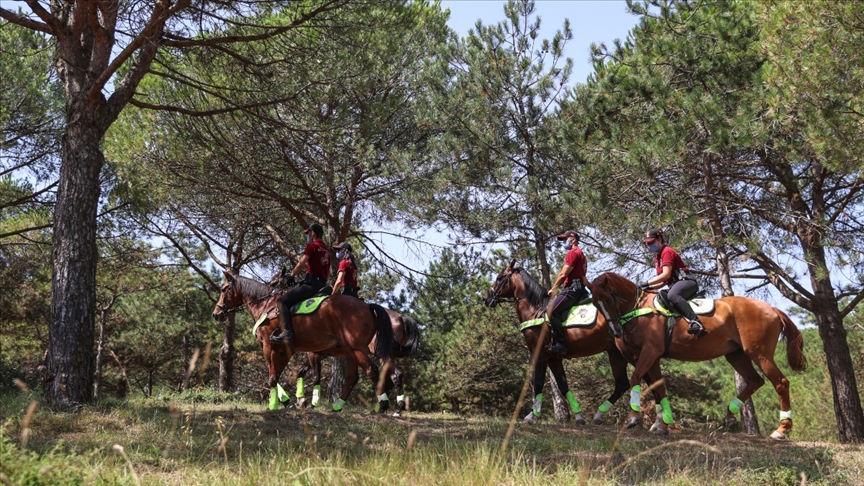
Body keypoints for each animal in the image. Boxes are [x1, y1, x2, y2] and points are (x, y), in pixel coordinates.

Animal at [213, 272, 394, 412]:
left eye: (223, 289)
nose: (216, 314)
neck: (267, 305)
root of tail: (367, 306)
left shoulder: (269, 348)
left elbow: (273, 377)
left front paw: (275, 405)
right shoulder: (285, 351)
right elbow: (278, 376)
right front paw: (289, 401)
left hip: (355, 348)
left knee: (372, 370)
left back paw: (382, 405)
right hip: (350, 352)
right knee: (352, 378)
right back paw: (338, 406)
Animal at [480, 260, 668, 430]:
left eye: (499, 278)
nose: (486, 298)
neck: (536, 311)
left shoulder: (539, 354)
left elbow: (538, 383)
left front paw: (532, 416)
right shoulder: (554, 359)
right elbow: (563, 386)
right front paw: (578, 416)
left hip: (625, 353)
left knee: (639, 381)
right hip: (617, 353)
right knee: (626, 383)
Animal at [592, 272, 808, 438]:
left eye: (609, 299)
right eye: (595, 304)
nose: (615, 332)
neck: (638, 308)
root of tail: (771, 308)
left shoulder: (650, 351)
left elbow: (637, 378)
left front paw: (633, 417)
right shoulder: (651, 356)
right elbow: (658, 388)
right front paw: (662, 424)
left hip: (759, 353)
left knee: (780, 382)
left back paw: (781, 429)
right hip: (736, 355)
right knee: (755, 380)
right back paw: (730, 415)